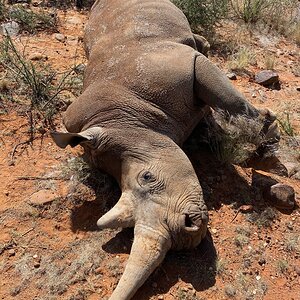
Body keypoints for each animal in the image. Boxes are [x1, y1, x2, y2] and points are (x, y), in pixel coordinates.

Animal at [51, 1, 278, 298]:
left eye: (147, 177)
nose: (184, 232)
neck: (125, 123)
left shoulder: (178, 67)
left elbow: (229, 98)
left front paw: (268, 138)